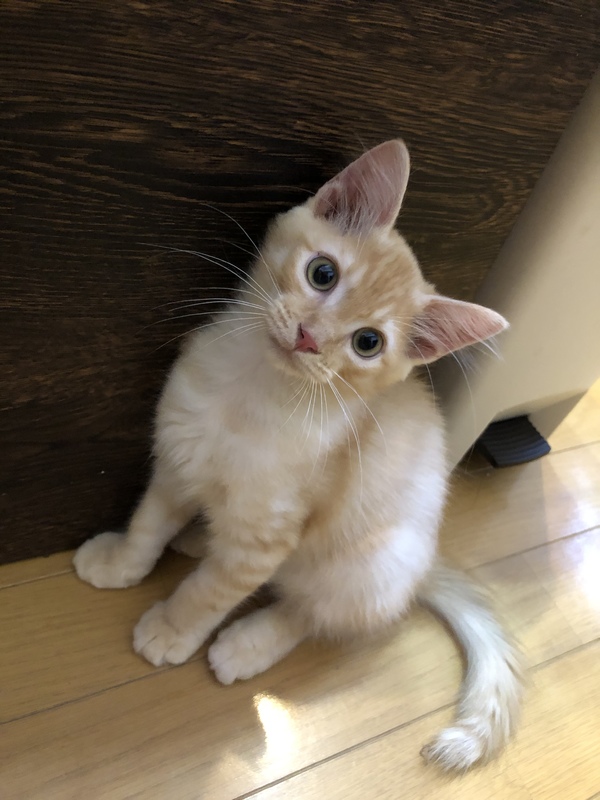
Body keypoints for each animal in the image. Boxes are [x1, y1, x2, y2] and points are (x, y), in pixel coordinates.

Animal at [74, 140, 523, 771]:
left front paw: (172, 629)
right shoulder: (177, 457)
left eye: (367, 343)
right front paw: (121, 563)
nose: (310, 337)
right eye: (322, 273)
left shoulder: (270, 533)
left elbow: (212, 591)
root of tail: (422, 567)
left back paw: (249, 642)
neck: (249, 394)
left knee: (313, 610)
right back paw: (196, 538)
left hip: (370, 562)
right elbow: (146, 524)